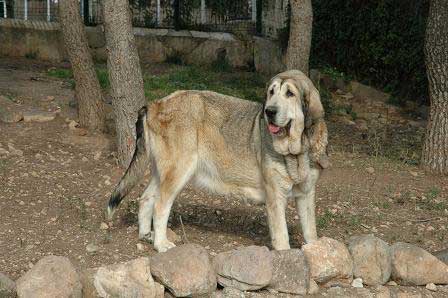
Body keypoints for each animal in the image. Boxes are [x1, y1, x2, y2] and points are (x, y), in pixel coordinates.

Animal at [105, 69, 328, 251]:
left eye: (290, 94)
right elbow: (282, 238)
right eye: (271, 93)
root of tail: (154, 105)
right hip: (178, 173)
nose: (269, 111)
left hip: (163, 174)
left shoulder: (306, 195)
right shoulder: (276, 198)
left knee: (146, 198)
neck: (297, 151)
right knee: (160, 206)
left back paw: (146, 236)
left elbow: (311, 232)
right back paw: (161, 245)